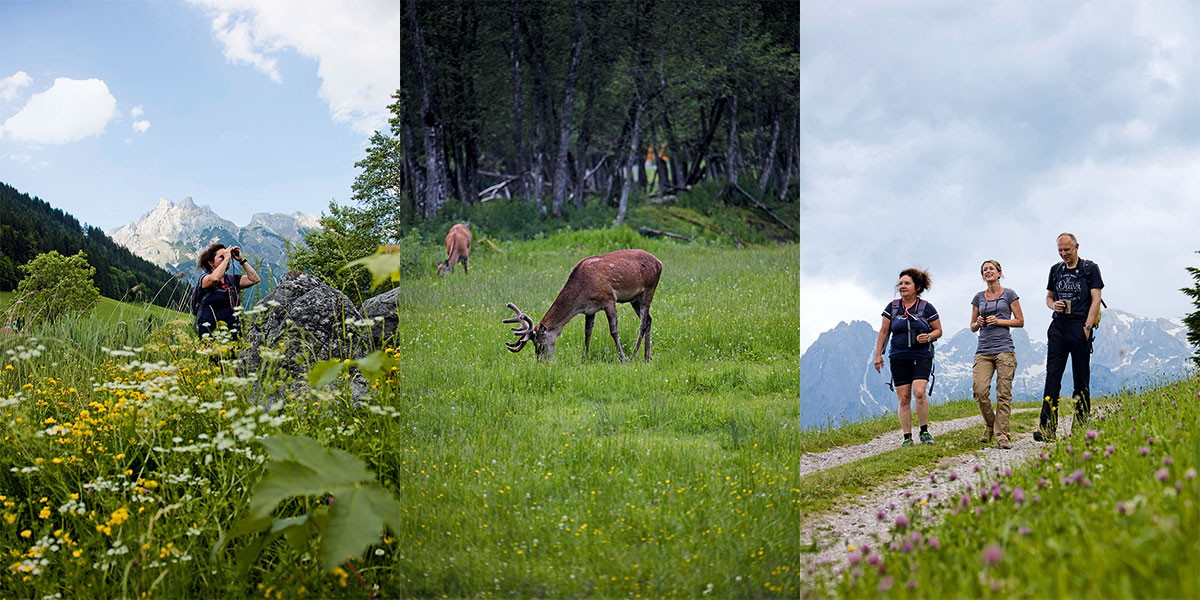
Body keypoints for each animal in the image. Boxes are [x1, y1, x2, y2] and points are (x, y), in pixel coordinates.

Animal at [501, 248, 662, 360]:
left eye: (540, 345)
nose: (541, 362)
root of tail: (659, 263)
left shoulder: (609, 298)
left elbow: (614, 331)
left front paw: (621, 358)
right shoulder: (590, 309)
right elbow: (587, 332)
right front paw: (584, 357)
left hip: (649, 289)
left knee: (642, 323)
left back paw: (634, 356)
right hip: (635, 298)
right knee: (649, 319)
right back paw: (647, 357)